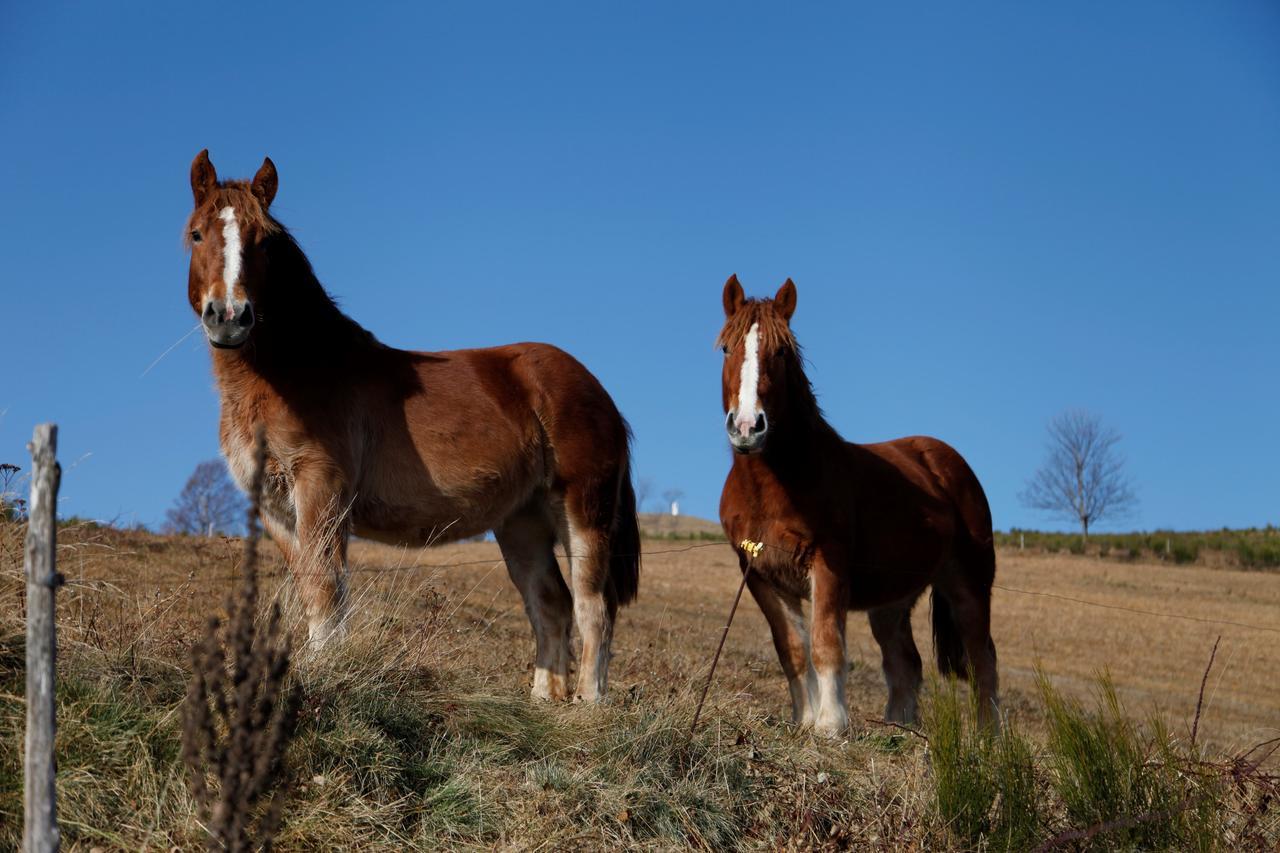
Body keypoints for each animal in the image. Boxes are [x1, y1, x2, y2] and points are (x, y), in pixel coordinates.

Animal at [183, 151, 640, 696]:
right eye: (196, 233)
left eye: (264, 241)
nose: (229, 317)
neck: (299, 370)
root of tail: (602, 396)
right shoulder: (276, 508)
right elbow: (313, 587)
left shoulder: (321, 489)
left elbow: (325, 587)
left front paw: (324, 673)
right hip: (522, 521)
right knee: (552, 605)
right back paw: (543, 702)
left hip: (581, 511)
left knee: (595, 608)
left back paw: (589, 704)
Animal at [716, 274, 993, 732]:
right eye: (726, 348)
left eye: (781, 351)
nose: (747, 427)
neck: (775, 484)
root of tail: (949, 462)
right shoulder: (760, 575)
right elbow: (792, 650)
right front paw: (805, 721)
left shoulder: (827, 563)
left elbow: (827, 643)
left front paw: (831, 725)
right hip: (892, 602)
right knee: (905, 664)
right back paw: (899, 728)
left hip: (968, 586)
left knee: (982, 660)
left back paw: (991, 738)